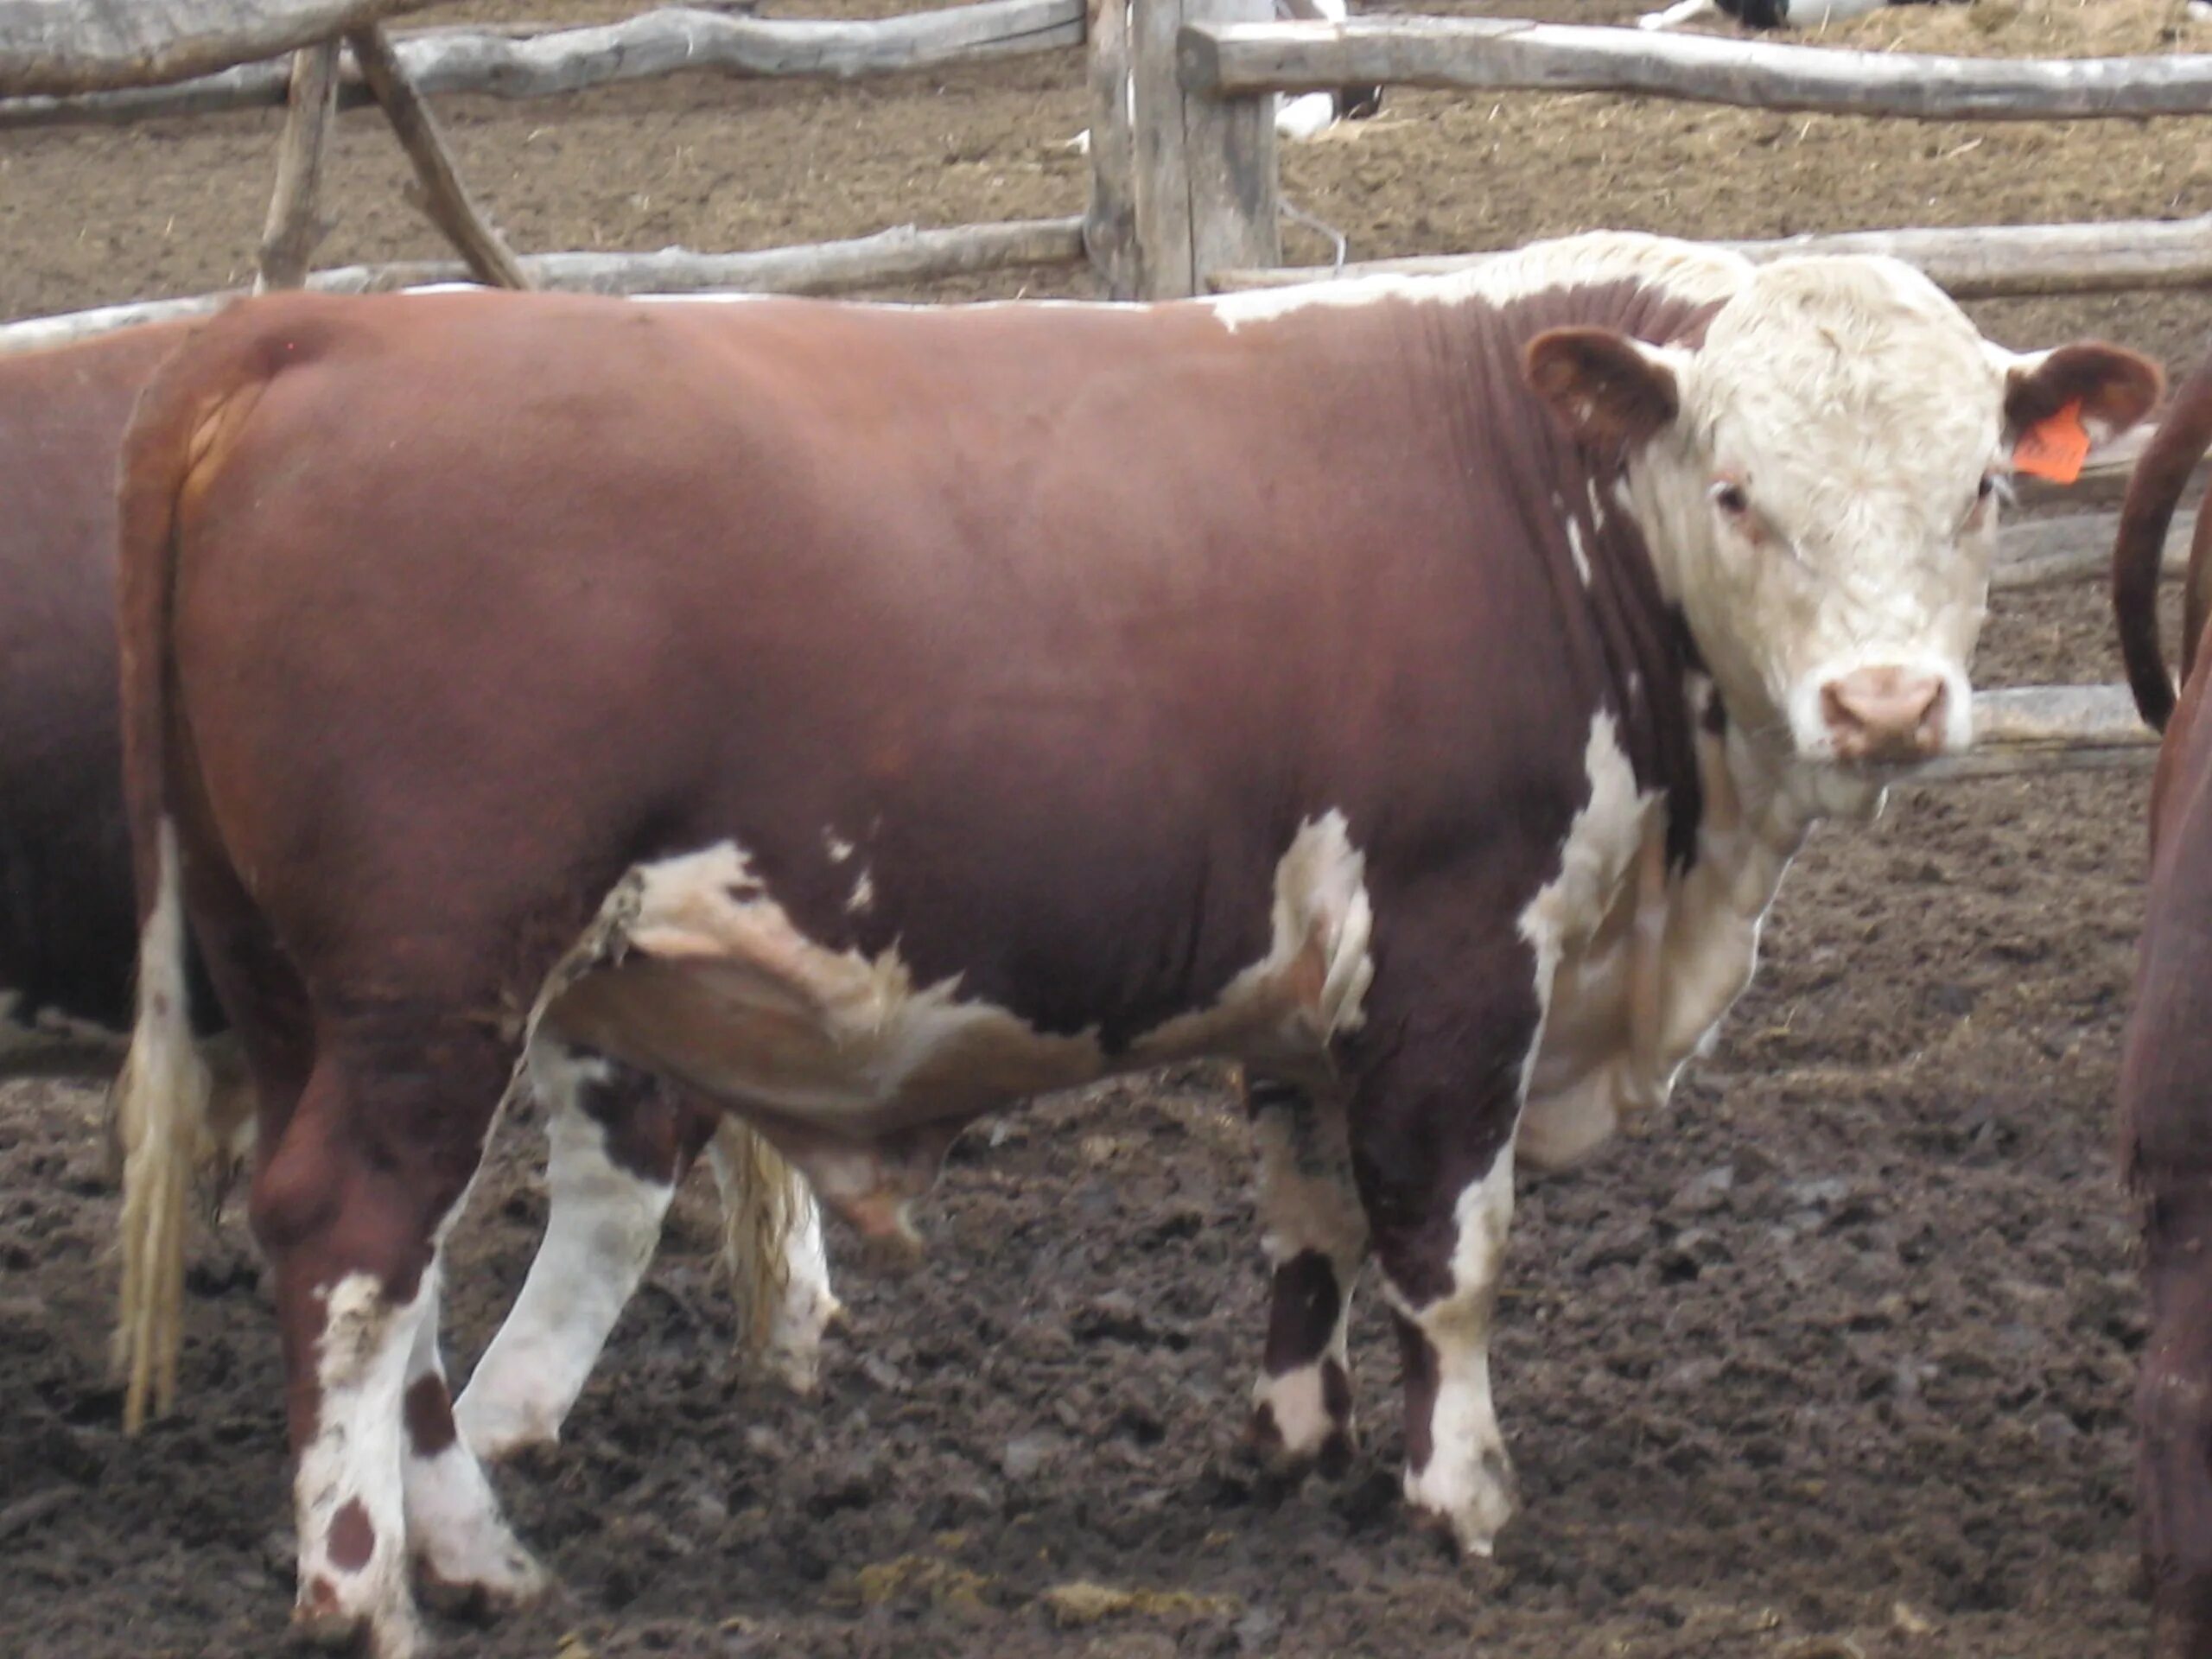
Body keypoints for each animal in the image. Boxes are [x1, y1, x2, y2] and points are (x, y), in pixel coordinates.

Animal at [107, 224, 2158, 1659]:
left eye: (1981, 486)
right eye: (1739, 492)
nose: (1885, 705)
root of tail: (306, 333)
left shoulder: (1315, 987)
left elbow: (1309, 1220)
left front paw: (1297, 1448)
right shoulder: (1455, 938)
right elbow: (1449, 1244)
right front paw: (1463, 1497)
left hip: (306, 994)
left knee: (393, 1289)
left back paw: (479, 1558)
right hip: (427, 982)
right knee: (354, 1248)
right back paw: (366, 1591)